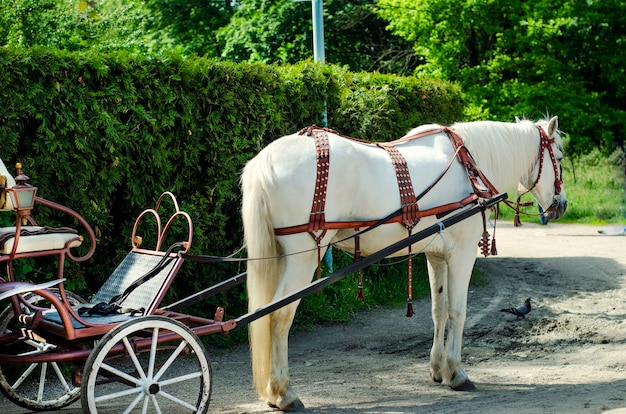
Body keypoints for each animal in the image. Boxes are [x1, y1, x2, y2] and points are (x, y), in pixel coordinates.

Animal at [240, 116, 564, 410]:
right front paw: (456, 372)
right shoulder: (462, 253)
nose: (561, 205)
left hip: (280, 257)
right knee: (278, 315)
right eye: (559, 157)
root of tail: (266, 161)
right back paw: (284, 393)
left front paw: (437, 369)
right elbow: (458, 311)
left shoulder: (437, 255)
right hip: (303, 257)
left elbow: (439, 310)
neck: (470, 165)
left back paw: (274, 392)